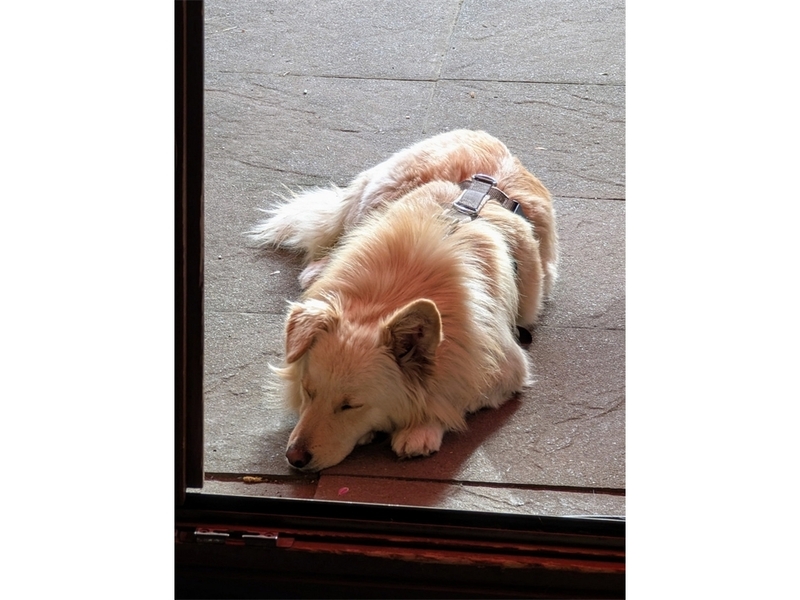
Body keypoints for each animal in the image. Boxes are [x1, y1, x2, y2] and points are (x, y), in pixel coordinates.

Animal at [249, 130, 558, 471]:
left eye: (350, 405)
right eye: (308, 391)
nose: (294, 458)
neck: (387, 297)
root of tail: (478, 134)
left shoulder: (504, 367)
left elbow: (453, 394)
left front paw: (420, 429)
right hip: (372, 199)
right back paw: (317, 269)